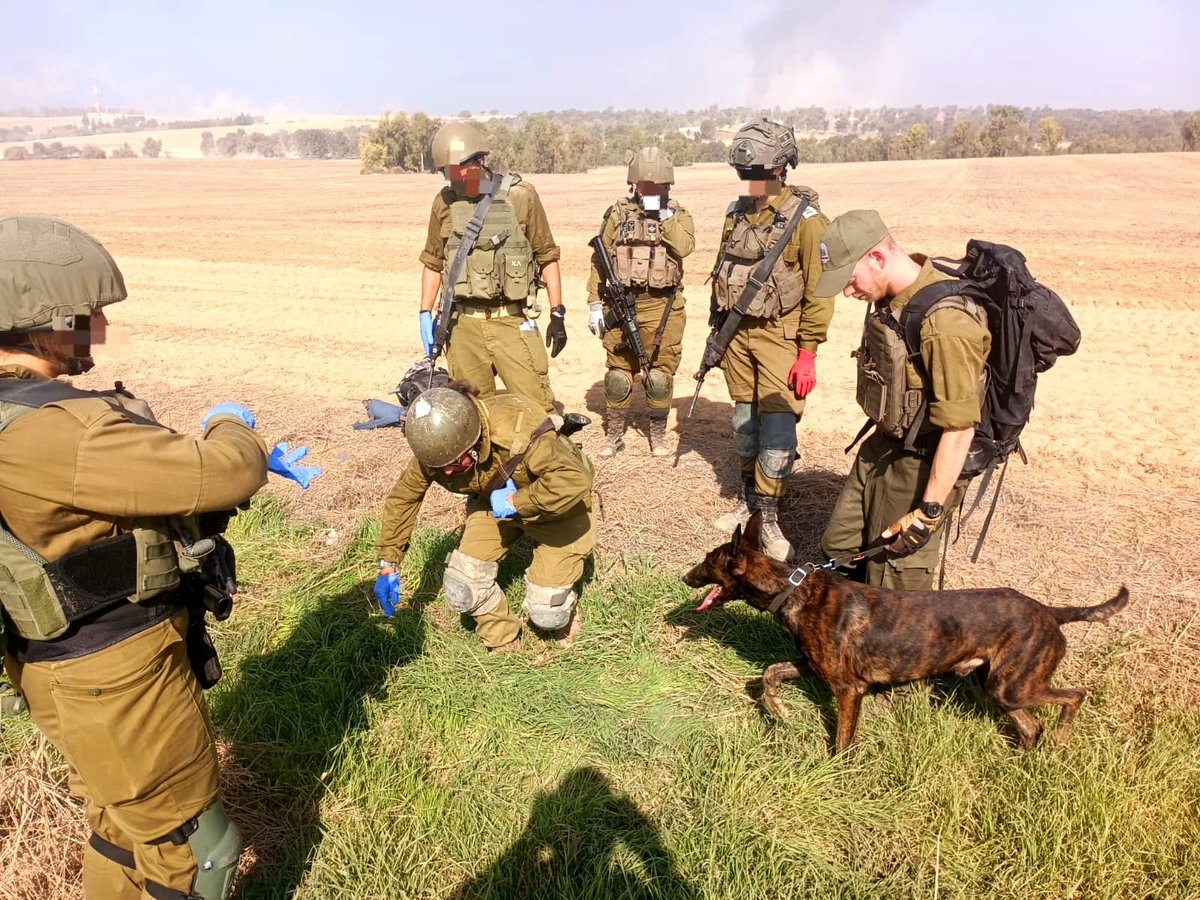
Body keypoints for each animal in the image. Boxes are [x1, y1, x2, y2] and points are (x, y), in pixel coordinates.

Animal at [686, 513, 1123, 753]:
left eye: (707, 562)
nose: (686, 577)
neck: (794, 590)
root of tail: (1051, 612)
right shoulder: (811, 665)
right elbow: (770, 673)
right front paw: (777, 709)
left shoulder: (849, 689)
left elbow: (843, 741)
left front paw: (837, 775)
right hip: (1000, 687)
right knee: (1033, 726)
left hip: (1013, 687)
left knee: (1075, 696)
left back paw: (1062, 738)